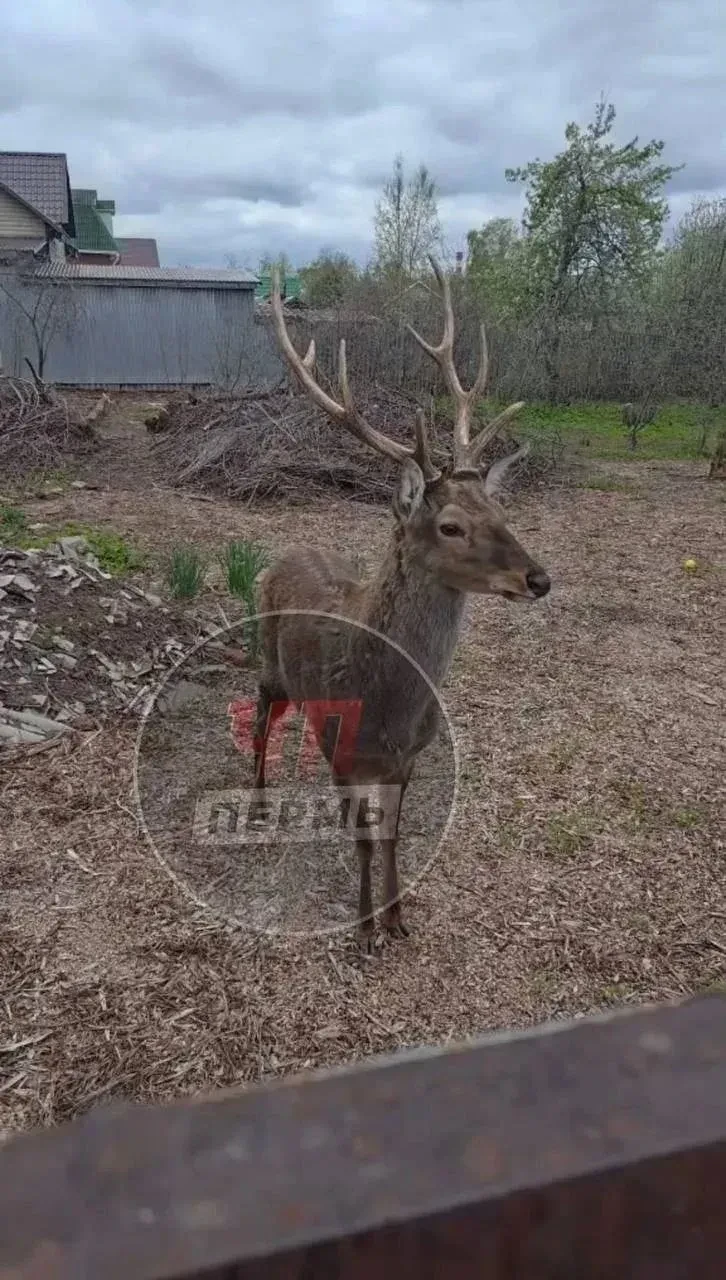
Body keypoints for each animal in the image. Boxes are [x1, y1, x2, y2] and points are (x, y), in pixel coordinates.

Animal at [252, 256, 550, 952]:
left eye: (500, 509)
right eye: (449, 526)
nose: (538, 578)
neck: (386, 705)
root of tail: (289, 547)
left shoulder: (406, 760)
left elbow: (391, 833)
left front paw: (396, 915)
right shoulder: (348, 752)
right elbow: (364, 838)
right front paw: (364, 928)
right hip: (267, 660)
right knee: (260, 716)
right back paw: (256, 802)